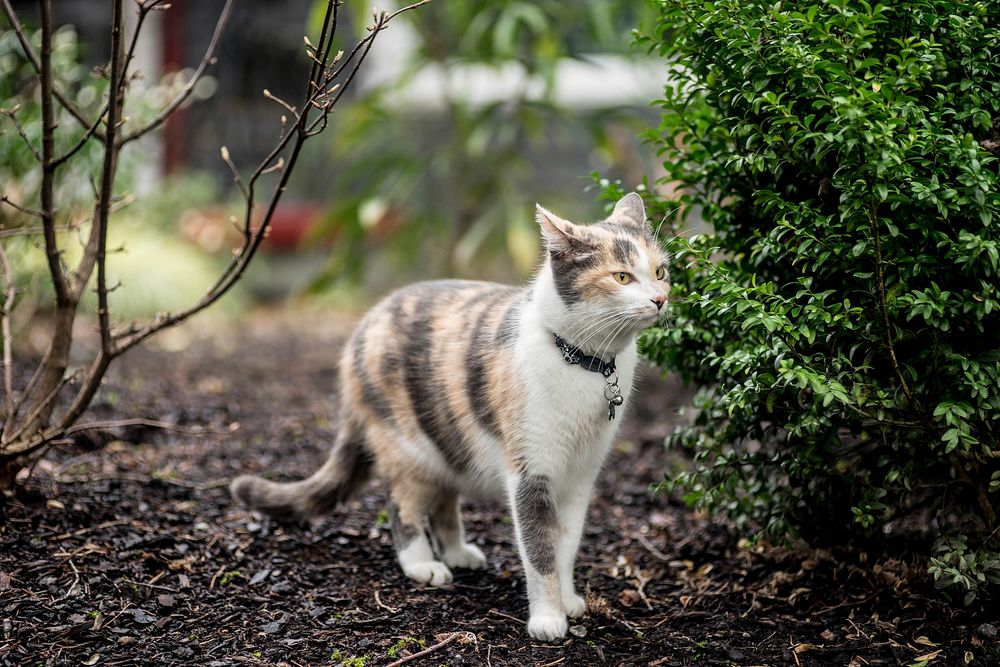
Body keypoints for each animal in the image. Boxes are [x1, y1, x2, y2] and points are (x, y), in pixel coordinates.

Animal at [231, 190, 672, 640]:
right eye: (622, 277)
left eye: (660, 271)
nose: (660, 299)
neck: (585, 363)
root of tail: (366, 323)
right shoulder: (531, 473)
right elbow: (540, 551)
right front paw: (548, 618)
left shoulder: (580, 477)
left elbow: (565, 547)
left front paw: (567, 601)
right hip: (407, 447)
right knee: (403, 504)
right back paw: (422, 563)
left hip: (448, 440)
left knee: (443, 498)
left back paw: (457, 551)